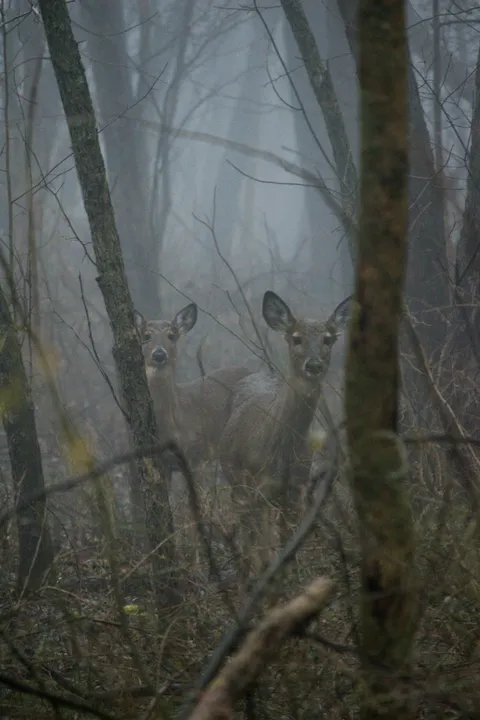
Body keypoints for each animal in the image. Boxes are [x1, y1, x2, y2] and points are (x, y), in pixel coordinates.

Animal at [219, 290, 351, 576]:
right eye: (296, 338)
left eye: (328, 338)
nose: (314, 365)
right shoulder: (256, 485)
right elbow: (262, 547)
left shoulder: (296, 488)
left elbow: (288, 544)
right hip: (235, 479)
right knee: (248, 530)